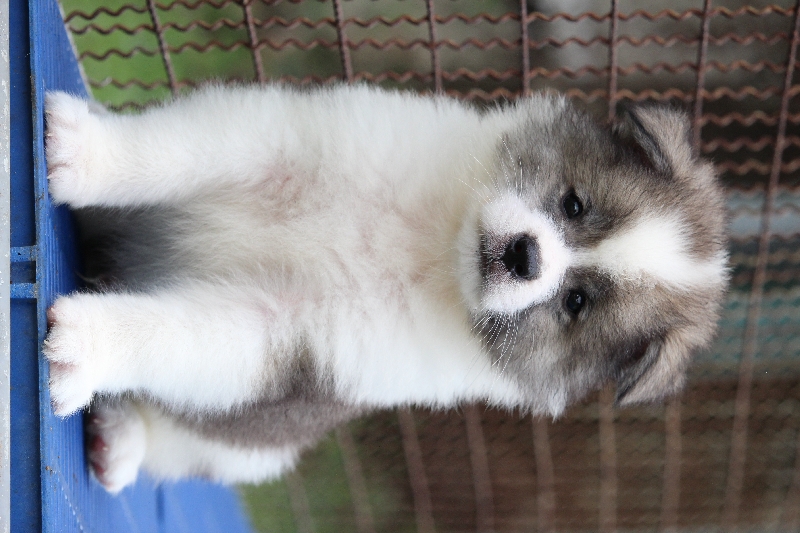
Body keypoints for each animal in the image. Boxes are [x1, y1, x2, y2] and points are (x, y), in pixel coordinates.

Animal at [42, 84, 728, 493]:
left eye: (575, 304)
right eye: (574, 203)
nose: (524, 255)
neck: (430, 248)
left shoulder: (280, 330)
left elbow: (173, 336)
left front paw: (85, 347)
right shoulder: (279, 142)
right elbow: (174, 150)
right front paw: (84, 154)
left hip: (254, 451)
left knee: (182, 443)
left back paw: (118, 443)